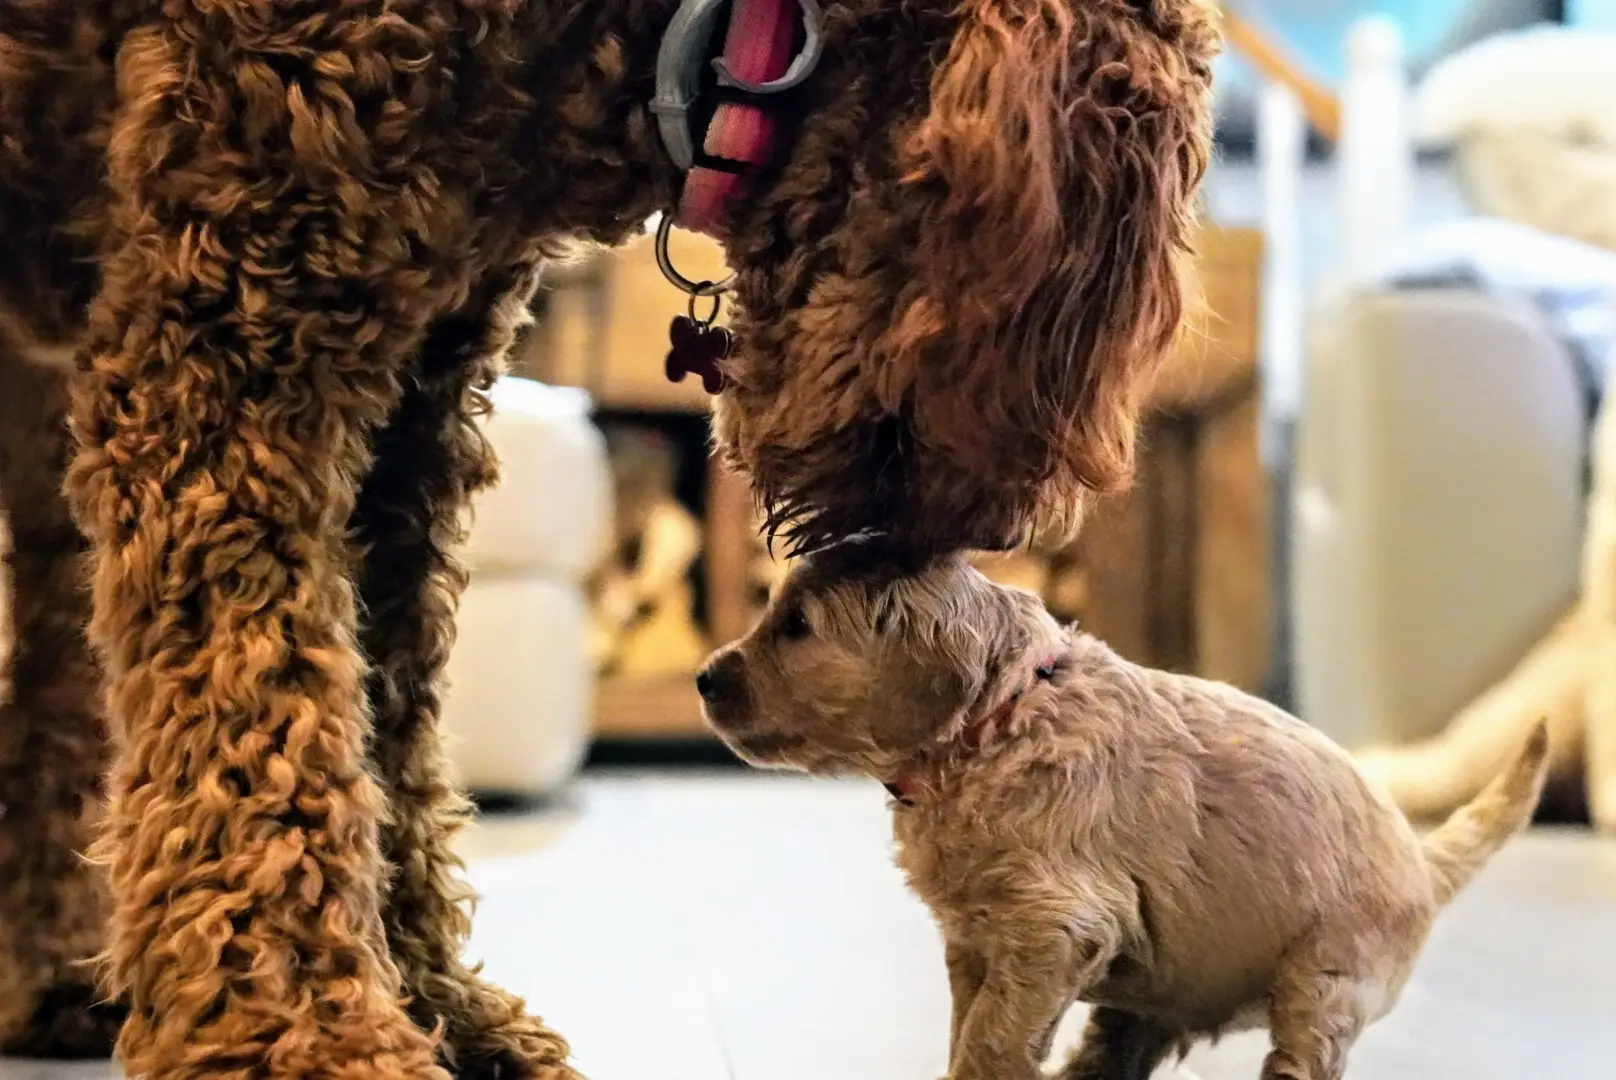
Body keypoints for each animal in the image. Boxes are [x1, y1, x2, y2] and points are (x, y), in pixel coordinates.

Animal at [698, 548, 1550, 1080]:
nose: (703, 676)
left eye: (797, 627)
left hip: (1328, 977)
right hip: (1167, 991)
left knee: (1303, 1057)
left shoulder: (1054, 926)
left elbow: (992, 1036)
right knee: (1115, 1049)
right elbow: (971, 1021)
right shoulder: (974, 940)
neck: (999, 722)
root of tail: (1423, 860)